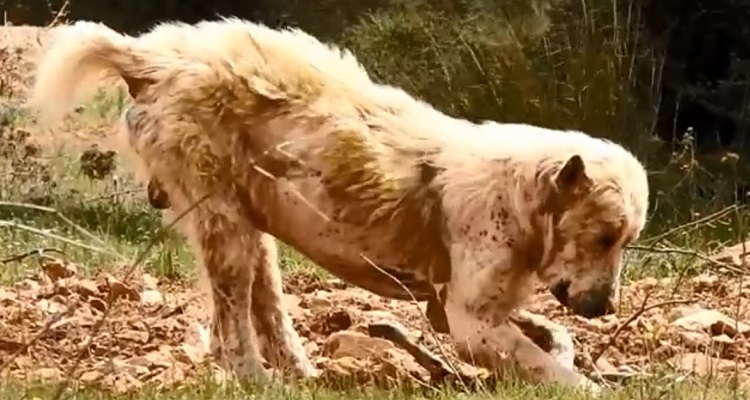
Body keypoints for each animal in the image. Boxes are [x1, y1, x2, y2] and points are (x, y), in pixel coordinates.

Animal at [30, 18, 652, 394]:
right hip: (225, 229)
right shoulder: (471, 322)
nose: (606, 309)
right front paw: (589, 384)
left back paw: (304, 374)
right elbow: (550, 366)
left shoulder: (451, 309)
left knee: (267, 311)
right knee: (231, 331)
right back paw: (259, 381)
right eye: (603, 237)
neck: (521, 197)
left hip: (253, 231)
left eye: (625, 242)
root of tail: (153, 57)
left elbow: (554, 339)